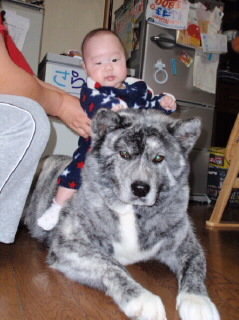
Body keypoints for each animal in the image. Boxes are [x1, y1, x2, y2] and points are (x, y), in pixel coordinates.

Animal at [23, 109, 219, 318]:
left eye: (159, 158)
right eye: (124, 154)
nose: (140, 189)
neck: (132, 211)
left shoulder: (187, 244)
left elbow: (194, 267)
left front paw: (198, 302)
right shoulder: (69, 245)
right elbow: (111, 265)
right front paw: (142, 299)